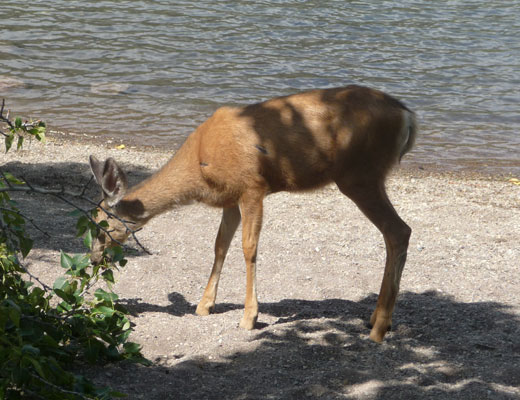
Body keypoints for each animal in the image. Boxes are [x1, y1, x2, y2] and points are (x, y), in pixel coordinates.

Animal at [88, 84, 414, 340]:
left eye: (103, 226)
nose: (93, 259)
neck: (199, 165)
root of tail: (407, 116)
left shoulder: (252, 187)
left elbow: (249, 248)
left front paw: (249, 317)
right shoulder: (230, 198)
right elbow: (220, 245)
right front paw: (204, 305)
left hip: (360, 175)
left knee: (399, 230)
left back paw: (379, 328)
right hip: (364, 177)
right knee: (396, 233)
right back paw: (376, 319)